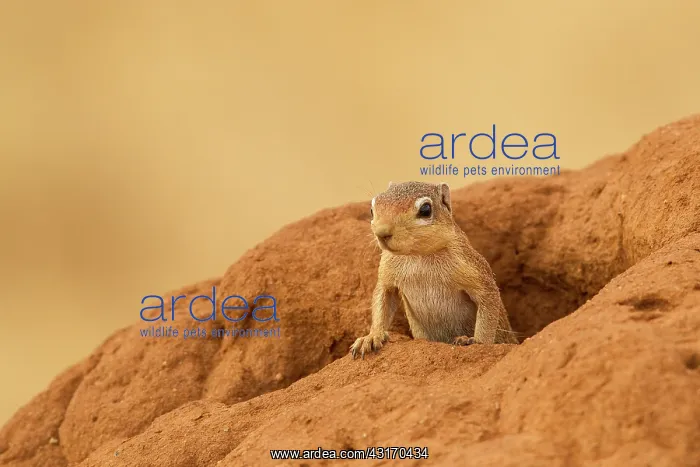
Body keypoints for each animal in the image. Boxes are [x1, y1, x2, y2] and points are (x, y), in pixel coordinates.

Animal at [351, 180, 518, 359]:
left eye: (425, 209)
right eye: (371, 209)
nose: (382, 233)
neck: (418, 257)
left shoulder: (475, 271)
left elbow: (488, 304)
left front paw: (476, 341)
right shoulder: (386, 274)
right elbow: (382, 298)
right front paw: (371, 337)